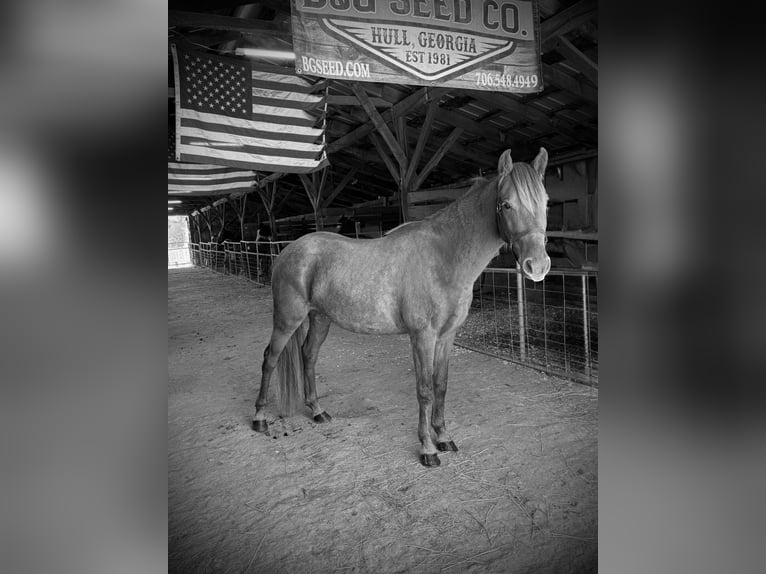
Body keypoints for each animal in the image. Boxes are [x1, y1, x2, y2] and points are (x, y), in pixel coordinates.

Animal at [252, 147, 551, 467]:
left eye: (545, 202)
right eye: (506, 204)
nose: (537, 266)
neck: (443, 258)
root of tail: (288, 251)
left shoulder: (446, 337)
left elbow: (441, 386)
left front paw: (443, 437)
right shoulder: (422, 337)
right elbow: (424, 390)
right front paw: (428, 449)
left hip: (320, 318)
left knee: (308, 355)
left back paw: (318, 411)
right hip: (288, 318)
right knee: (270, 358)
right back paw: (260, 418)